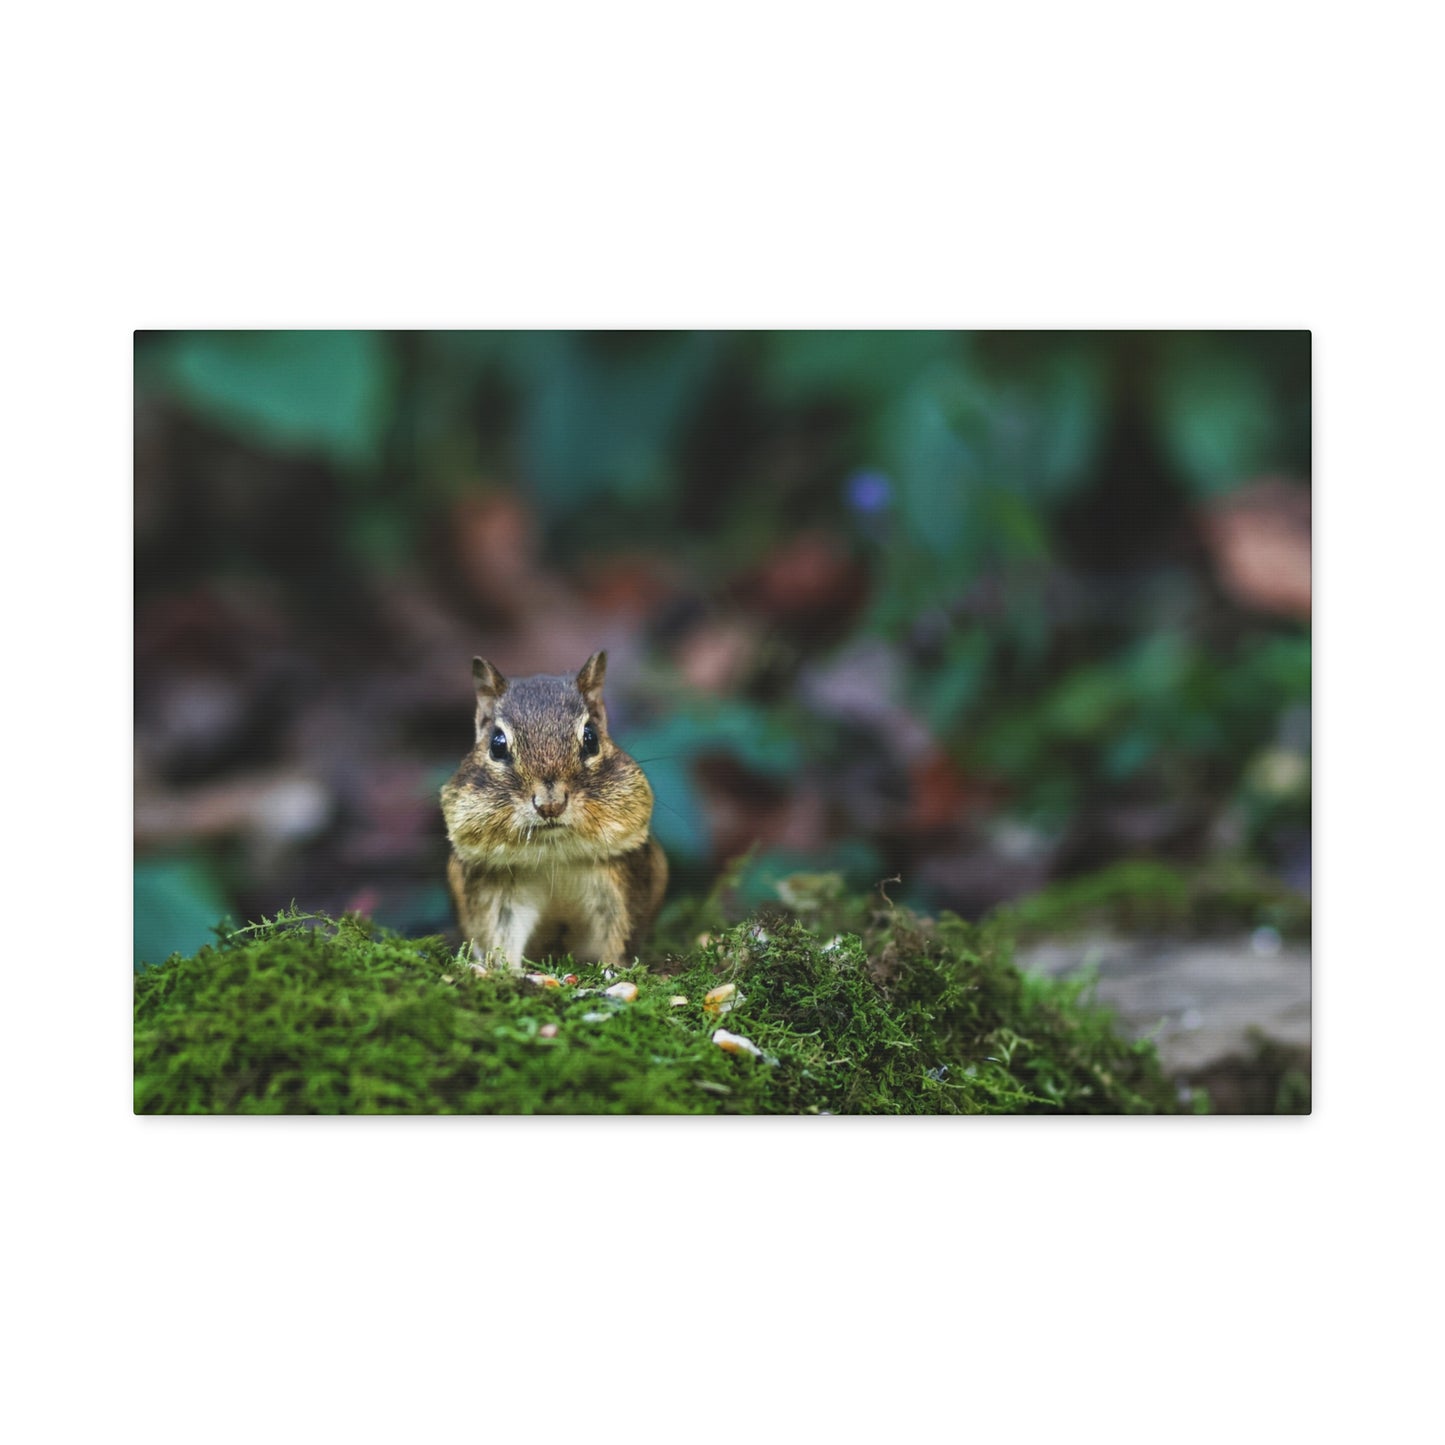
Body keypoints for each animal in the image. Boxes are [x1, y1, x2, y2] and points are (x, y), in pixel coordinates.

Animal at [440, 650, 668, 972]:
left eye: (591, 738)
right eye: (497, 744)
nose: (550, 804)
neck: (553, 855)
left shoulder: (621, 880)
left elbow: (620, 933)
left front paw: (613, 970)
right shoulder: (495, 891)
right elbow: (500, 937)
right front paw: (507, 972)